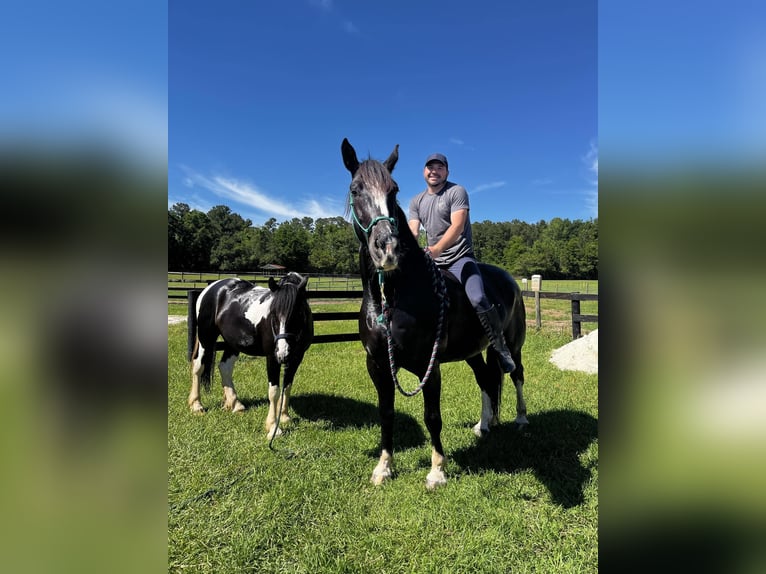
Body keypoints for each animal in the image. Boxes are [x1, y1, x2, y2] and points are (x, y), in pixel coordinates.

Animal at [187, 272, 314, 439]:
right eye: (273, 315)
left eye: (298, 314)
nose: (282, 354)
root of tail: (211, 288)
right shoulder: (271, 358)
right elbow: (274, 391)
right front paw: (273, 428)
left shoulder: (296, 358)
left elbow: (287, 387)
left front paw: (284, 417)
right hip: (206, 337)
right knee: (198, 366)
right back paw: (197, 405)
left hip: (232, 343)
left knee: (225, 367)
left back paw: (235, 404)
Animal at [341, 138, 528, 488]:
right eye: (355, 189)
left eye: (394, 190)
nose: (387, 248)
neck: (393, 300)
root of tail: (509, 280)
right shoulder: (377, 365)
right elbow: (386, 413)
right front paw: (384, 468)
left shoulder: (430, 366)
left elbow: (432, 417)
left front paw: (437, 471)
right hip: (473, 352)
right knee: (486, 379)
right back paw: (484, 426)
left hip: (513, 345)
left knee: (516, 374)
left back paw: (522, 419)